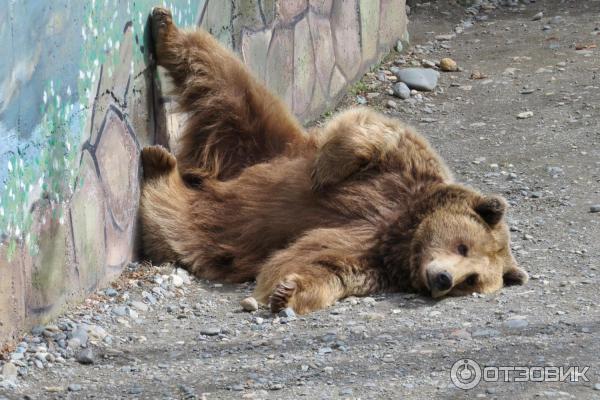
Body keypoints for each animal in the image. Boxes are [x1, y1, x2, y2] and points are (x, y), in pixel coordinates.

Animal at [138, 4, 528, 314]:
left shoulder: (372, 257)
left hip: (222, 217)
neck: (403, 226)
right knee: (228, 85)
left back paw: (160, 167)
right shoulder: (402, 173)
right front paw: (326, 170)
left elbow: (328, 268)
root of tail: (213, 177)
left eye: (472, 279)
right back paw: (164, 29)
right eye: (463, 246)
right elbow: (373, 130)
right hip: (263, 146)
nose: (444, 279)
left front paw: (287, 291)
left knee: (179, 224)